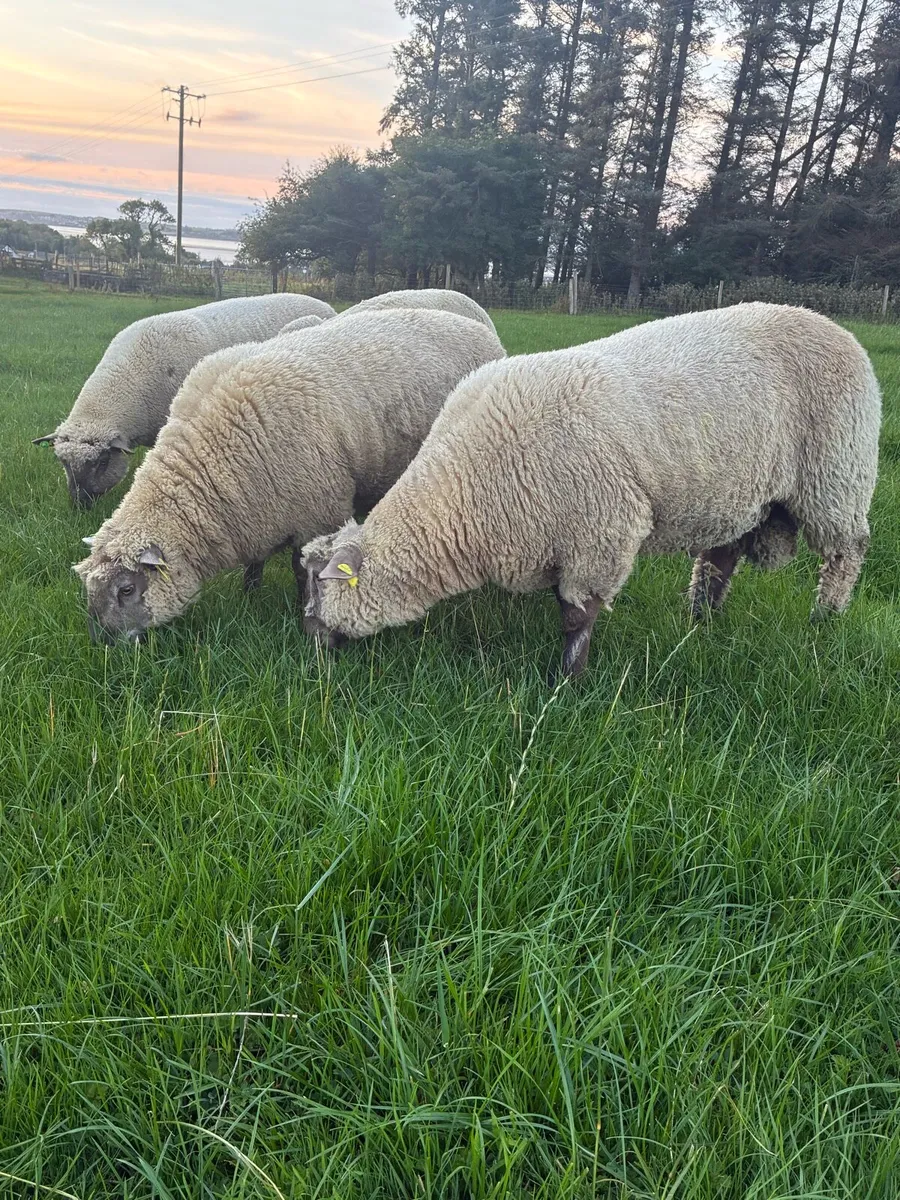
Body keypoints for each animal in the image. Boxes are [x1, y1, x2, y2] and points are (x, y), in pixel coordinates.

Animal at [73, 309, 506, 643]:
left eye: (126, 589)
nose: (103, 645)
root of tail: (475, 324)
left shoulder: (318, 509)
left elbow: (302, 570)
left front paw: (304, 609)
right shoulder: (257, 512)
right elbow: (255, 561)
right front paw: (250, 595)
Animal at [302, 303, 881, 678]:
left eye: (315, 592)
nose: (308, 652)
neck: (464, 497)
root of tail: (836, 328)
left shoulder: (600, 535)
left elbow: (576, 618)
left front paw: (569, 683)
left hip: (837, 474)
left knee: (847, 551)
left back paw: (825, 617)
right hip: (741, 492)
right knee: (722, 556)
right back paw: (702, 618)